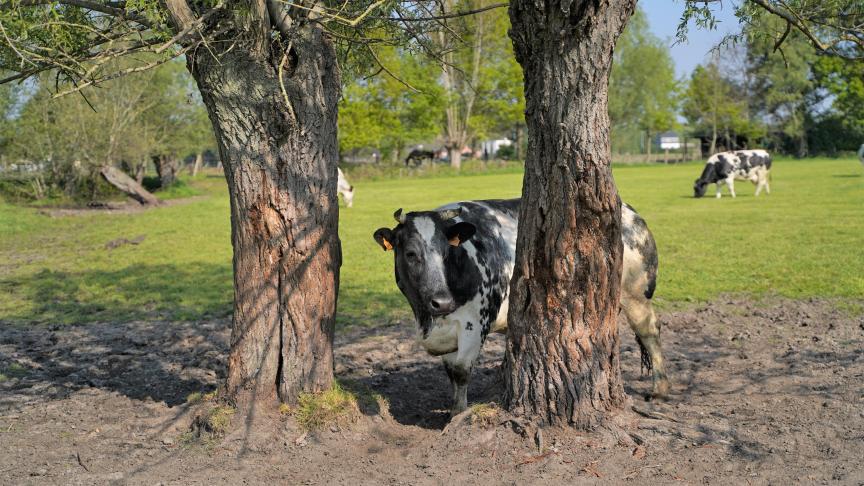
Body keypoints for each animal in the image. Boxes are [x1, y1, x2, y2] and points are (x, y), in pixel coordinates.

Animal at [372, 197, 668, 414]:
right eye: (411, 253)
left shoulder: (474, 324)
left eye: (447, 252)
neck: (428, 319)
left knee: (650, 332)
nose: (442, 301)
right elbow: (450, 372)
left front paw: (457, 414)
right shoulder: (445, 336)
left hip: (635, 293)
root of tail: (630, 212)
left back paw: (660, 389)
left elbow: (462, 371)